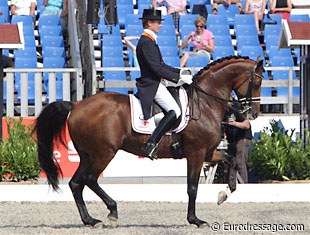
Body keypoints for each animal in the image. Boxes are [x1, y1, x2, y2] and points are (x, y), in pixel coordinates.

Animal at [35, 55, 266, 228]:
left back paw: (90, 220)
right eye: (257, 82)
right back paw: (112, 210)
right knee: (90, 179)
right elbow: (192, 187)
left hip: (87, 154)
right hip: (104, 153)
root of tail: (76, 105)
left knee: (76, 183)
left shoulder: (208, 152)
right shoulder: (196, 153)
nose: (253, 113)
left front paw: (225, 193)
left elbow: (230, 159)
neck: (206, 102)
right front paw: (195, 220)